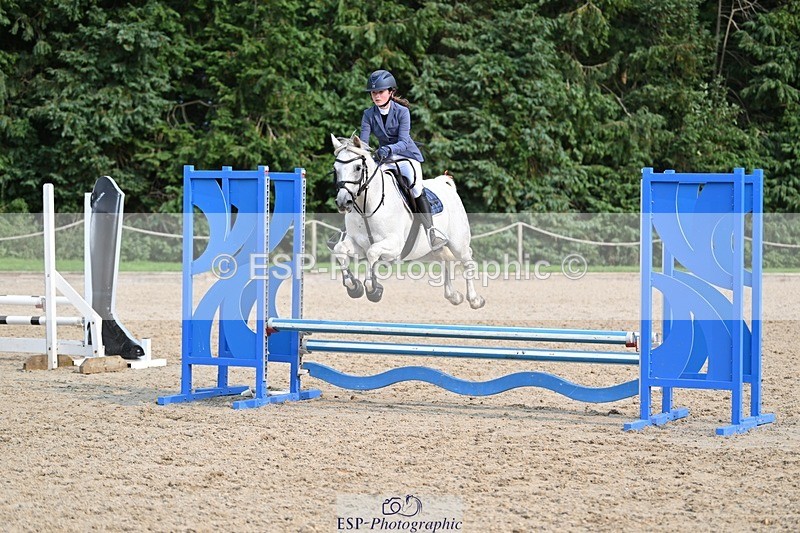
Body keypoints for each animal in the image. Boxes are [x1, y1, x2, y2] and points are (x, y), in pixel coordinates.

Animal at [330, 133, 485, 309]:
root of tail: (445, 184)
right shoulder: (358, 244)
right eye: (335, 169)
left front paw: (373, 289)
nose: (343, 202)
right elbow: (340, 249)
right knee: (445, 260)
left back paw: (474, 299)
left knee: (467, 260)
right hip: (429, 251)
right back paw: (453, 296)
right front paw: (353, 286)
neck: (367, 205)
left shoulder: (394, 245)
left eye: (357, 168)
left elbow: (372, 252)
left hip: (458, 243)